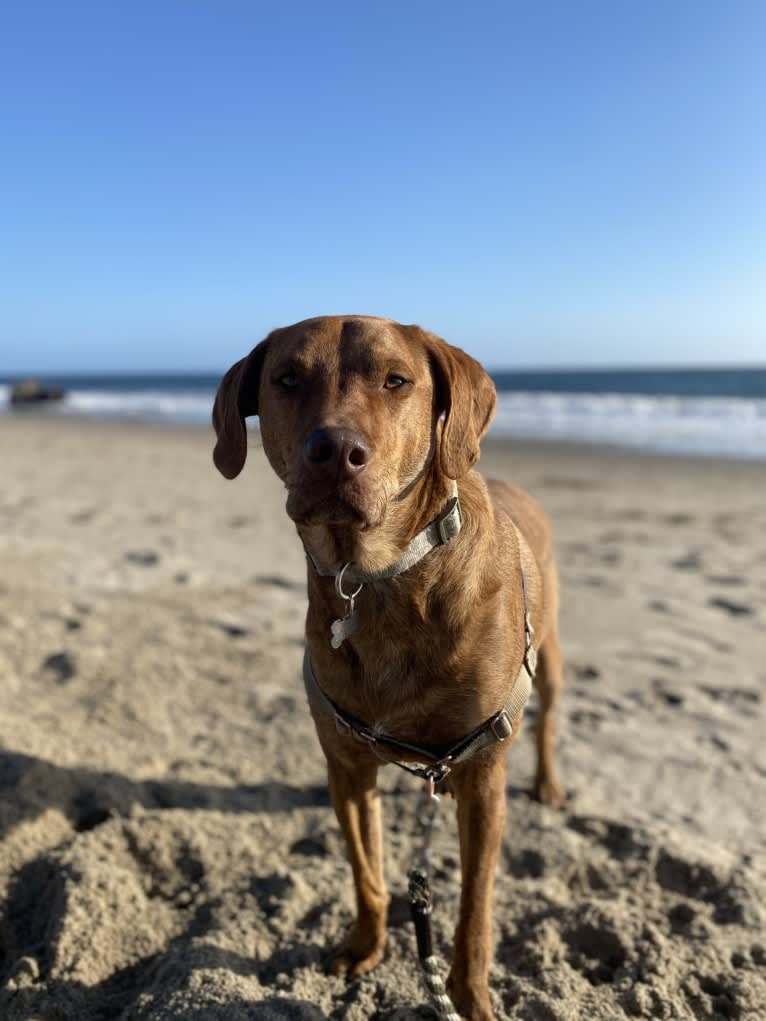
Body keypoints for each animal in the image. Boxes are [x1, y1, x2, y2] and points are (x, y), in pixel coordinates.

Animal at [211, 316, 563, 1021]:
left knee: (546, 721)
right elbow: (367, 872)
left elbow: (474, 912)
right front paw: (363, 946)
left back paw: (547, 783)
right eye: (287, 379)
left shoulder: (483, 774)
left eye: (396, 380)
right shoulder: (347, 766)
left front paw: (469, 997)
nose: (335, 450)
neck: (377, 576)